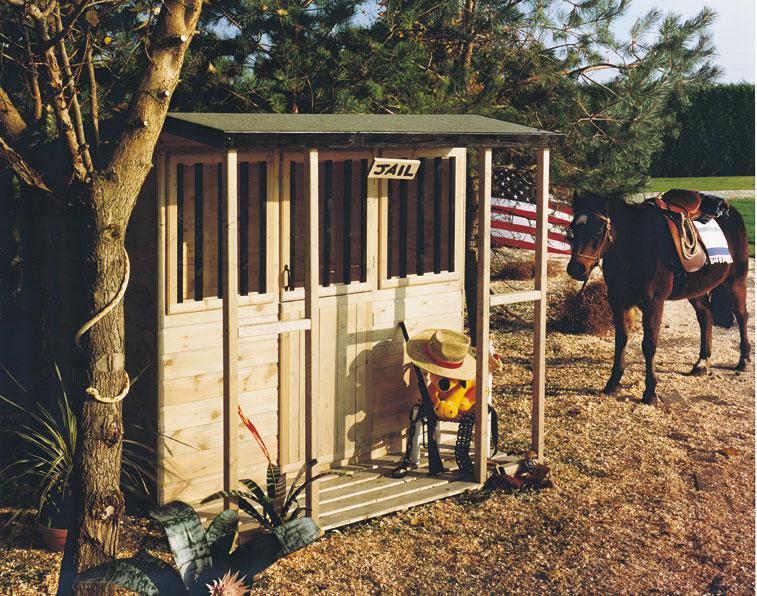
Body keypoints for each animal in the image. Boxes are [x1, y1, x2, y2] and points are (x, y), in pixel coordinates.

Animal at [568, 191, 752, 406]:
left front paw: (650, 392)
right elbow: (621, 340)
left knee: (742, 315)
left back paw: (744, 360)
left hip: (736, 280)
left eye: (598, 229)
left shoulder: (653, 304)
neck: (635, 246)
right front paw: (613, 383)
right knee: (706, 317)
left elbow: (649, 346)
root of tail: (733, 214)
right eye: (573, 226)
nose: (576, 268)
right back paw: (701, 363)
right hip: (696, 290)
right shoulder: (618, 301)